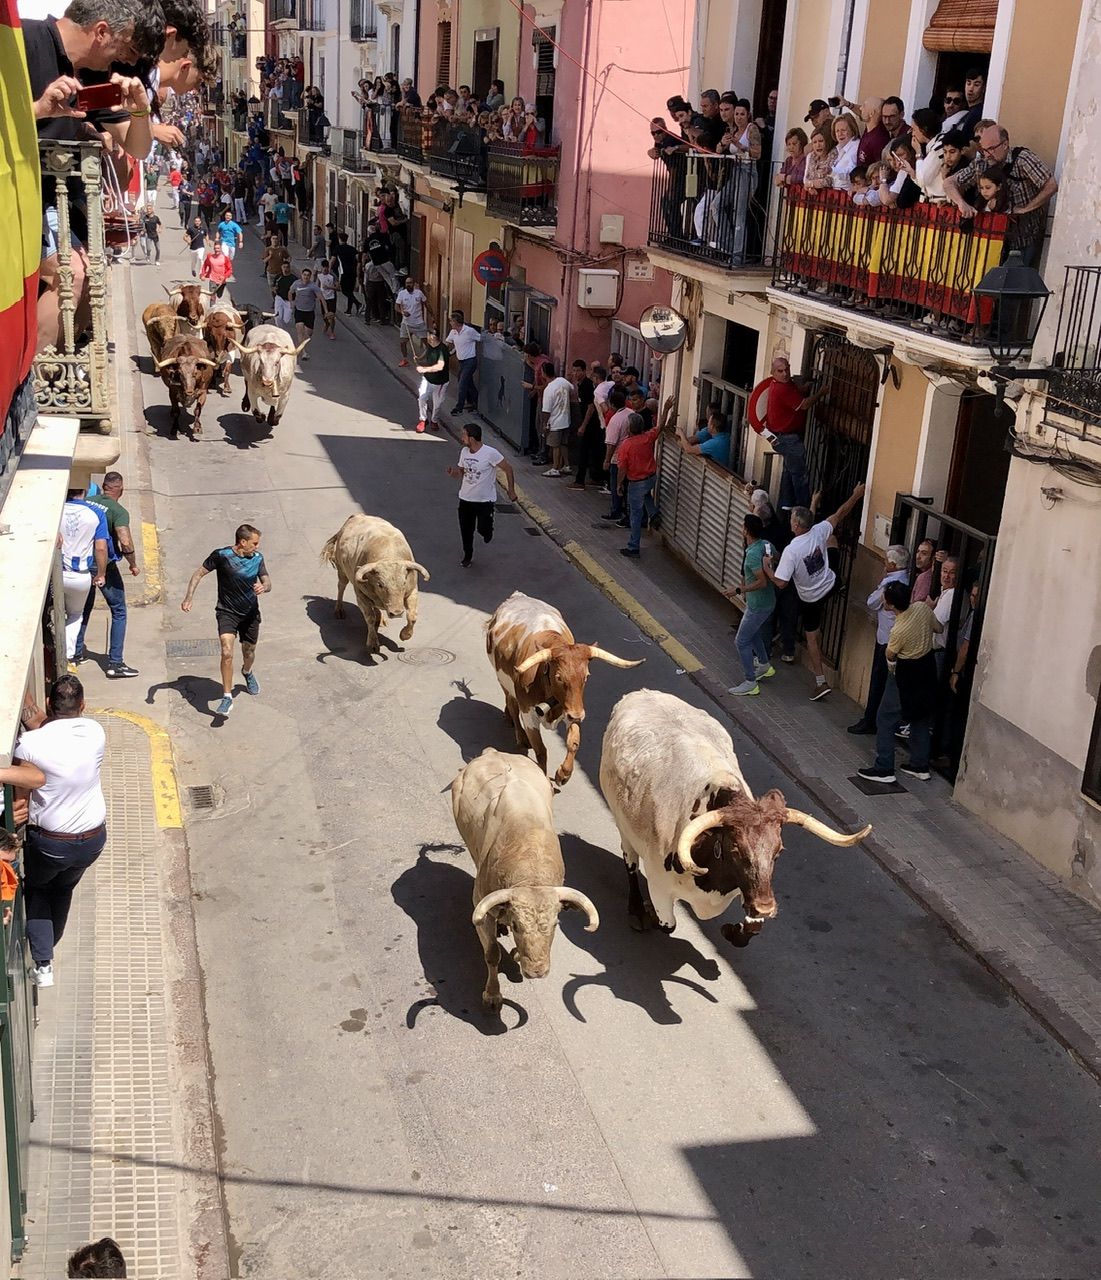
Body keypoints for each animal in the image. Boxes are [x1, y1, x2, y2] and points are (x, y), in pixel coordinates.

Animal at [318, 512, 430, 655]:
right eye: (380, 584)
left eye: (404, 582)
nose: (396, 613)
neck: (389, 555)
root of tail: (356, 516)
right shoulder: (361, 595)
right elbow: (369, 618)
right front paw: (373, 644)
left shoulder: (412, 591)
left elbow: (412, 616)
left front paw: (405, 635)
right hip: (342, 571)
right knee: (341, 587)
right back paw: (339, 610)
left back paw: (380, 618)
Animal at [450, 747, 596, 1008]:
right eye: (518, 925)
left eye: (555, 924)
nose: (536, 972)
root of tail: (492, 752)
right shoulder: (481, 907)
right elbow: (492, 954)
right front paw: (492, 995)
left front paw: (517, 955)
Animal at [486, 591, 640, 788]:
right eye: (559, 677)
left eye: (586, 676)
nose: (578, 715)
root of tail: (517, 597)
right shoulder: (529, 714)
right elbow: (541, 750)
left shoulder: (570, 708)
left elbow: (574, 742)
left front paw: (563, 774)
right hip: (504, 682)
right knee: (513, 706)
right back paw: (520, 736)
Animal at [596, 691, 870, 952]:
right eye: (736, 850)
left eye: (778, 851)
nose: (765, 908)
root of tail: (641, 694)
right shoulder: (659, 885)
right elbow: (667, 924)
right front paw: (649, 912)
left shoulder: (750, 889)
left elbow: (752, 929)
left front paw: (734, 930)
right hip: (623, 826)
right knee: (630, 863)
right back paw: (636, 911)